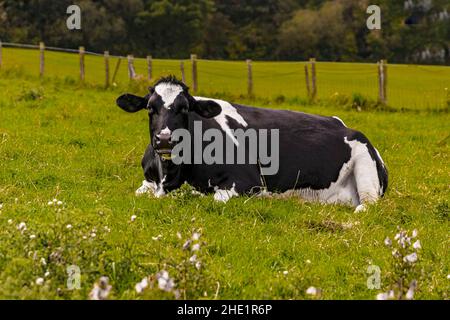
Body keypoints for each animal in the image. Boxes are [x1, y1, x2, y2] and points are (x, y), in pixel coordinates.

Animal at [115, 75, 386, 212]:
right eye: (150, 108)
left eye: (184, 108)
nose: (164, 139)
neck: (172, 176)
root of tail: (340, 122)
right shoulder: (148, 182)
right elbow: (140, 193)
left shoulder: (246, 182)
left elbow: (208, 198)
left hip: (366, 169)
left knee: (367, 207)